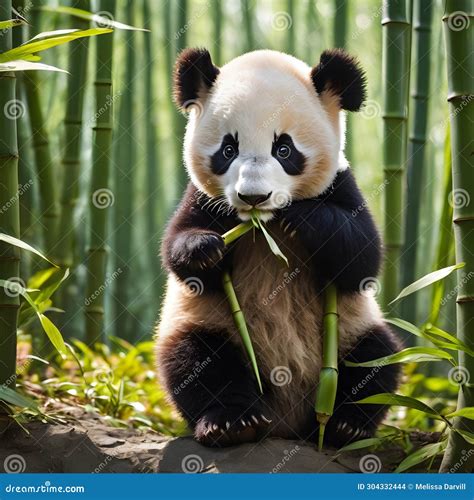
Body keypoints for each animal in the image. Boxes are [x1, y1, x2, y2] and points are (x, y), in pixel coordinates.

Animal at [157, 47, 402, 448]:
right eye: (228, 149)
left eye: (284, 149)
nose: (253, 197)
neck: (264, 227)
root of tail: (285, 423)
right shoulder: (202, 199)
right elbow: (178, 251)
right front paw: (205, 249)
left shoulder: (342, 184)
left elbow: (363, 259)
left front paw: (304, 217)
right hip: (211, 326)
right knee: (197, 362)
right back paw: (232, 424)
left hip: (351, 330)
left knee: (376, 359)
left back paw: (346, 426)